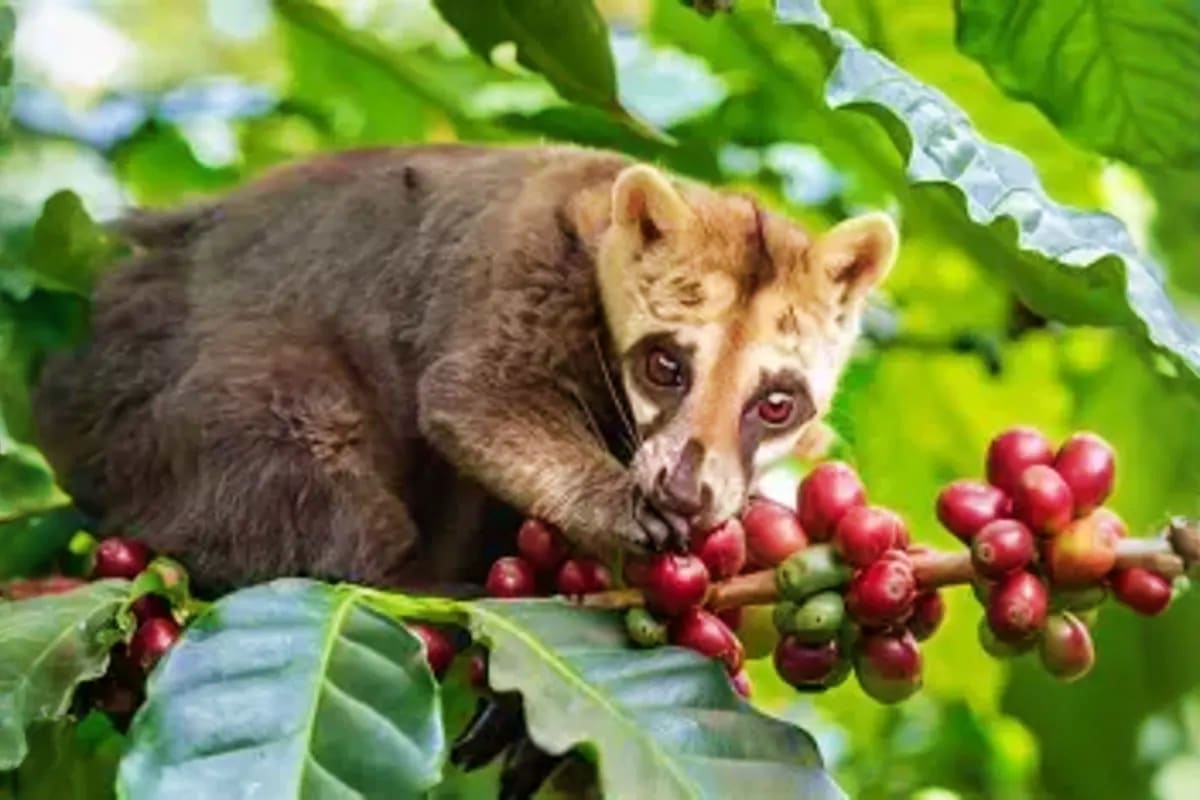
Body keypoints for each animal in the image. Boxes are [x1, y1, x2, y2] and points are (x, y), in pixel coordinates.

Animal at [32, 144, 896, 593]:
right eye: (665, 366)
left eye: (777, 403)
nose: (684, 492)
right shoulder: (528, 267)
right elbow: (475, 397)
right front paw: (615, 502)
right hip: (149, 378)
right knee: (294, 463)